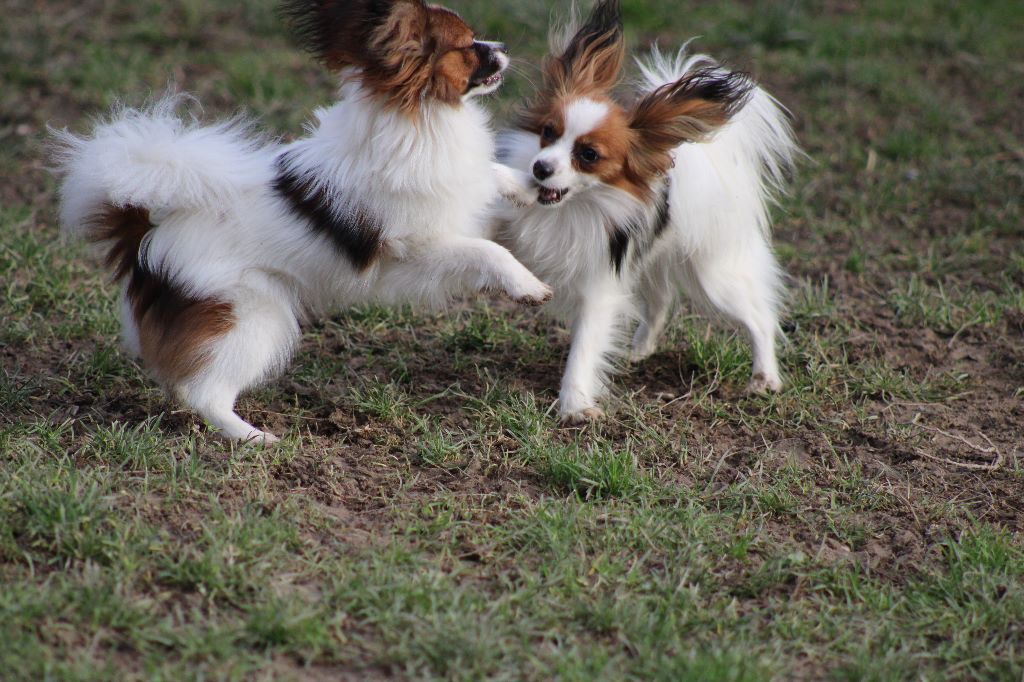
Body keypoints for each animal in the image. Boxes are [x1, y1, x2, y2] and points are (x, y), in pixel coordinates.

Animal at [54, 0, 552, 440]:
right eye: (469, 46)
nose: (504, 45)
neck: (421, 118)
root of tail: (148, 236)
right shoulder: (415, 249)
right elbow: (487, 250)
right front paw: (527, 285)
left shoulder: (462, 188)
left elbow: (492, 173)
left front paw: (531, 186)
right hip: (252, 316)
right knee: (201, 394)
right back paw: (253, 437)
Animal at [495, 0, 798, 421]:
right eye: (548, 132)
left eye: (588, 155)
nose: (540, 168)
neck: (571, 207)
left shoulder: (599, 287)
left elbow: (584, 348)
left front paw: (574, 404)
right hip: (652, 265)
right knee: (659, 304)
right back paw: (638, 350)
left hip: (715, 275)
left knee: (760, 316)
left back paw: (765, 376)